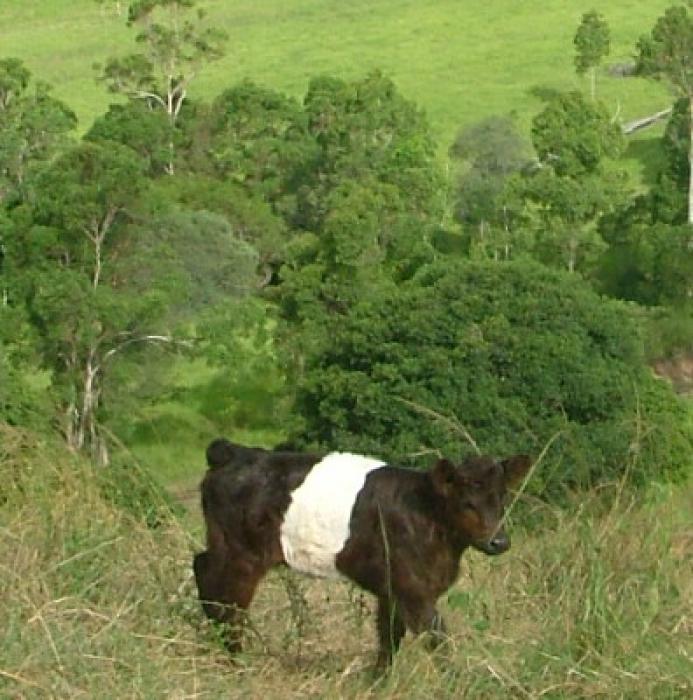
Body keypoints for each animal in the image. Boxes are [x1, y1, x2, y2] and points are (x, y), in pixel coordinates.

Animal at [191, 438, 528, 668]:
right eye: (467, 503)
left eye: (502, 497)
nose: (499, 542)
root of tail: (235, 452)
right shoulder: (413, 590)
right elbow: (437, 638)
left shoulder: (393, 590)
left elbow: (389, 638)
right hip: (239, 553)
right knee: (223, 596)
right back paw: (235, 661)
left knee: (204, 572)